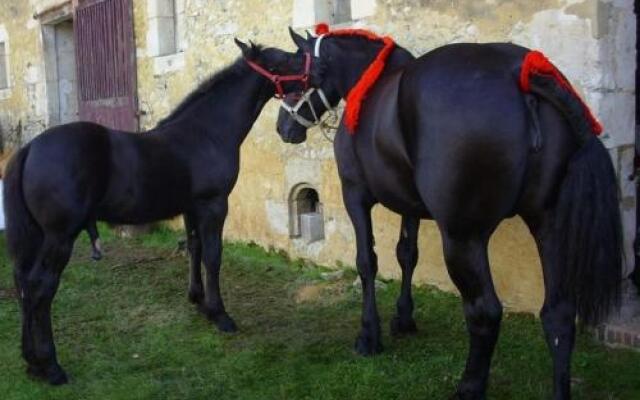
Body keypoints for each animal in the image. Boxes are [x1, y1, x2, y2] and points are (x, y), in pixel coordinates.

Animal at [1, 39, 308, 384]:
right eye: (282, 61)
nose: (312, 68)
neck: (206, 132)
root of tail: (30, 149)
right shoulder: (214, 205)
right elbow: (213, 256)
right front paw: (220, 315)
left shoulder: (191, 208)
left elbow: (194, 249)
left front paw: (199, 302)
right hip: (59, 237)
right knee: (40, 288)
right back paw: (50, 366)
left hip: (37, 237)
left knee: (23, 284)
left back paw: (31, 362)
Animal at [276, 26, 620, 398]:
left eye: (297, 73)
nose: (283, 127)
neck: (367, 86)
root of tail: (521, 73)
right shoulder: (409, 205)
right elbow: (407, 254)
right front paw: (404, 318)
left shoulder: (355, 196)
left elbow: (367, 262)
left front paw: (369, 335)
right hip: (549, 226)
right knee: (558, 314)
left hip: (462, 238)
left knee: (485, 312)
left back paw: (469, 386)